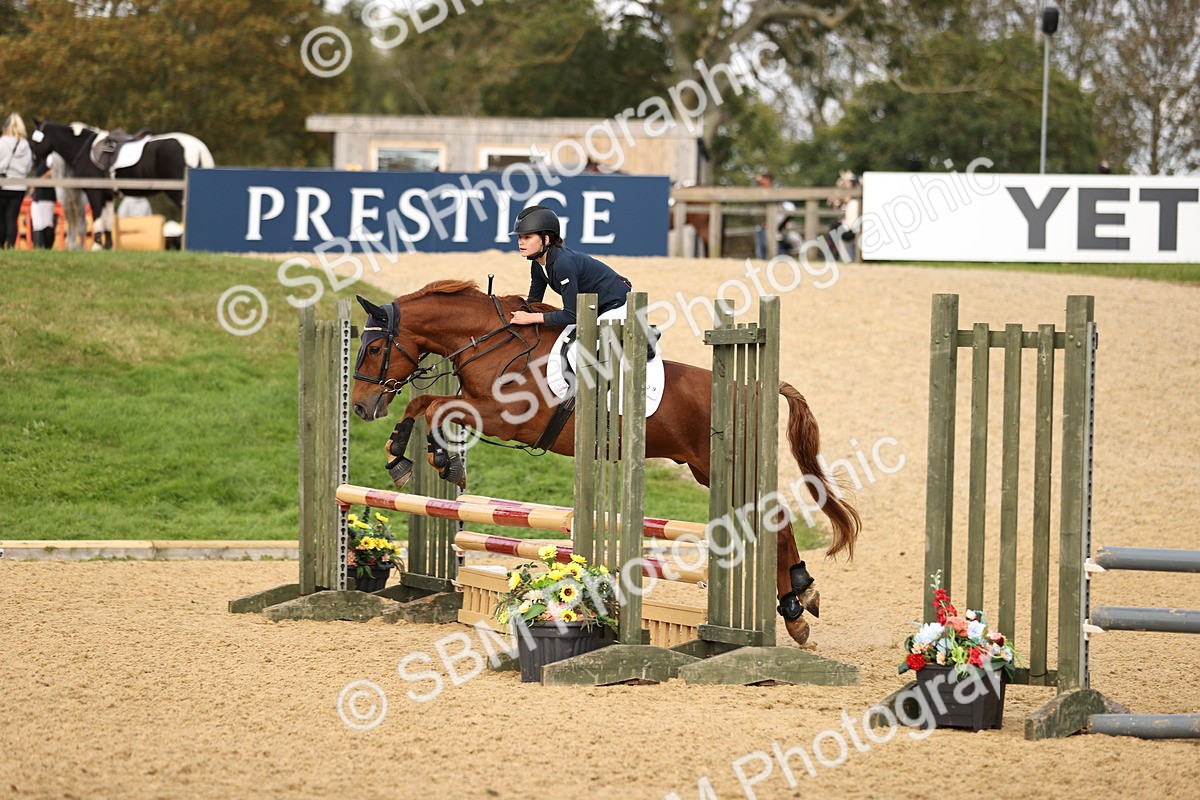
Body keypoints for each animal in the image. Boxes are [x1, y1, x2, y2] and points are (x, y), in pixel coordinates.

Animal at [28, 119, 213, 247]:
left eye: (35, 140)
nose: (33, 162)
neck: (85, 149)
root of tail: (198, 147)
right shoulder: (108, 195)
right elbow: (108, 221)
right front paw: (108, 246)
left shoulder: (94, 191)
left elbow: (97, 218)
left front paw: (97, 246)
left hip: (178, 192)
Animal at [350, 280, 862, 647]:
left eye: (374, 349)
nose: (359, 406)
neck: (492, 344)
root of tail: (750, 385)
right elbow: (425, 405)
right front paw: (411, 456)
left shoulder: (508, 420)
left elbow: (438, 407)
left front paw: (432, 458)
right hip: (708, 469)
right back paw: (798, 596)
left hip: (726, 467)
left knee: (775, 517)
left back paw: (796, 606)